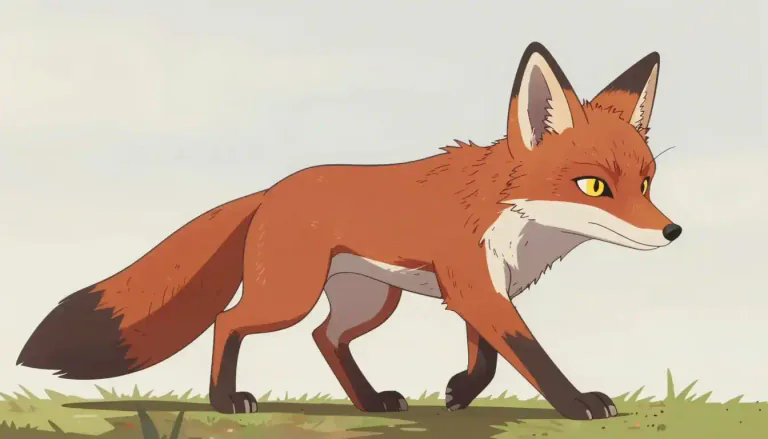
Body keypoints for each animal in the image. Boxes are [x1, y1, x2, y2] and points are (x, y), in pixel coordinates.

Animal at [17, 42, 681, 420]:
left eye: (647, 184)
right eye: (595, 186)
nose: (673, 232)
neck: (515, 222)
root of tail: (271, 190)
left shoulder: (484, 292)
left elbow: (489, 358)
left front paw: (459, 392)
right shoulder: (476, 287)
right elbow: (532, 357)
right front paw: (577, 404)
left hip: (369, 301)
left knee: (325, 337)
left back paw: (370, 402)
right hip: (288, 297)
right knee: (230, 321)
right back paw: (226, 401)